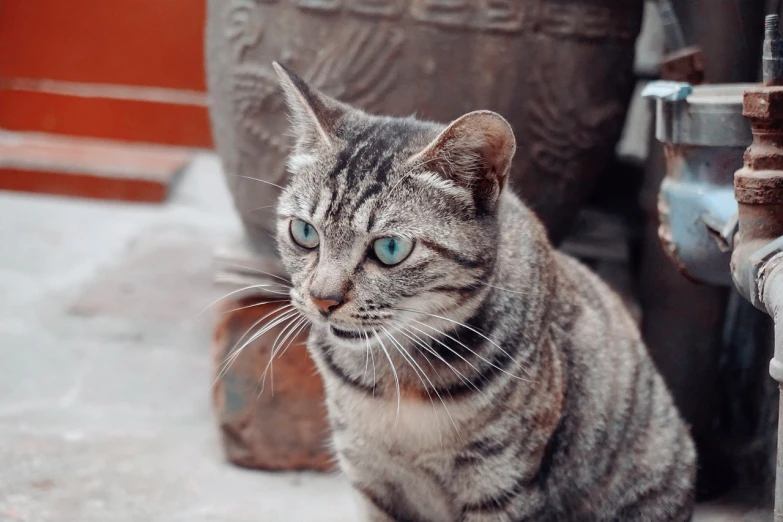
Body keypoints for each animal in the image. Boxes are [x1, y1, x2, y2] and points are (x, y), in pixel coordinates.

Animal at [272, 62, 700, 520]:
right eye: (304, 233)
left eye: (390, 249)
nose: (323, 298)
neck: (398, 381)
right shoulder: (369, 475)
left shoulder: (502, 483)